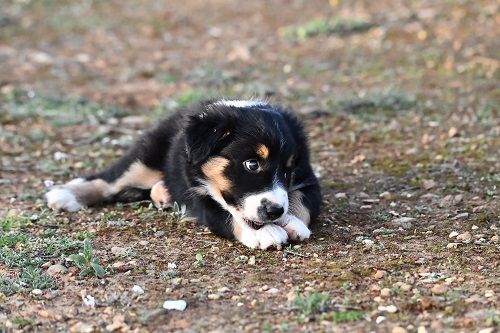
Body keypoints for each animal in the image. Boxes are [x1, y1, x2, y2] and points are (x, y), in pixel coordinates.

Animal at [46, 100, 320, 248]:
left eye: (288, 169)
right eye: (252, 164)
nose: (274, 212)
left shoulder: (308, 181)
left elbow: (302, 204)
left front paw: (291, 222)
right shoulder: (197, 193)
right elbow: (226, 215)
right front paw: (265, 232)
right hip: (146, 157)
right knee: (109, 180)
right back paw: (64, 195)